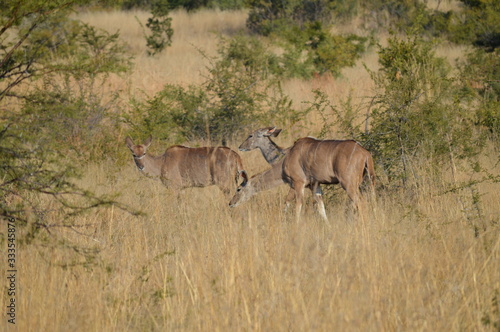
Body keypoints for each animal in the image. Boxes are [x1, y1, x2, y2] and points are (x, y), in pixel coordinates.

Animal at [230, 136, 376, 222]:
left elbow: (297, 205)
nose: (230, 203)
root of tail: (365, 153)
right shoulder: (314, 185)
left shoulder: (298, 183)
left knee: (361, 202)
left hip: (348, 184)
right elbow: (320, 207)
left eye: (238, 189)